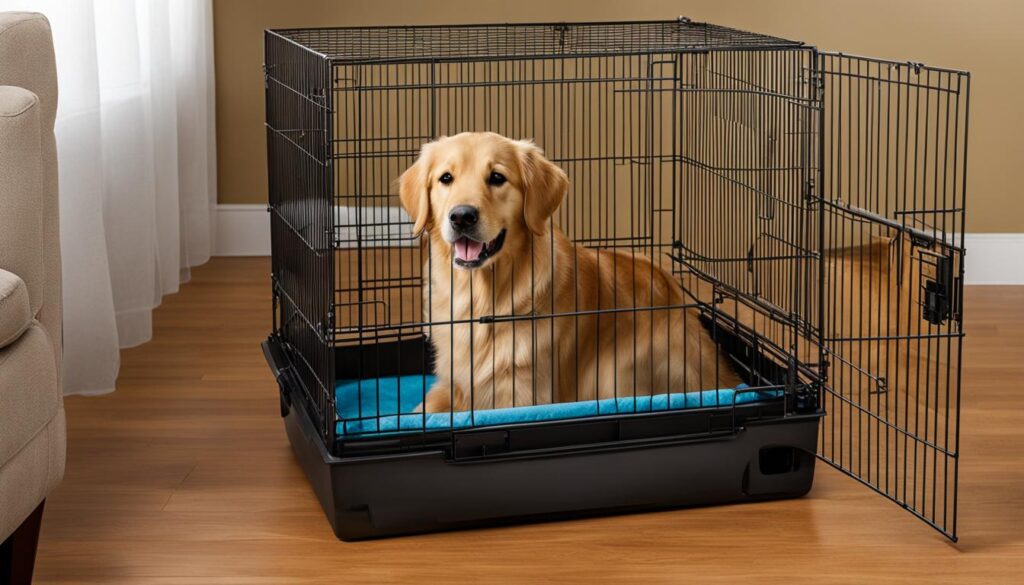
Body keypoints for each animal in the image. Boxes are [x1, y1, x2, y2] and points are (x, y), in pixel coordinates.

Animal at [395, 134, 741, 415]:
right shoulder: (452, 384)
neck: (481, 298)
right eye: (446, 178)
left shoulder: (522, 392)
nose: (462, 216)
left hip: (618, 370)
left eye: (496, 177)